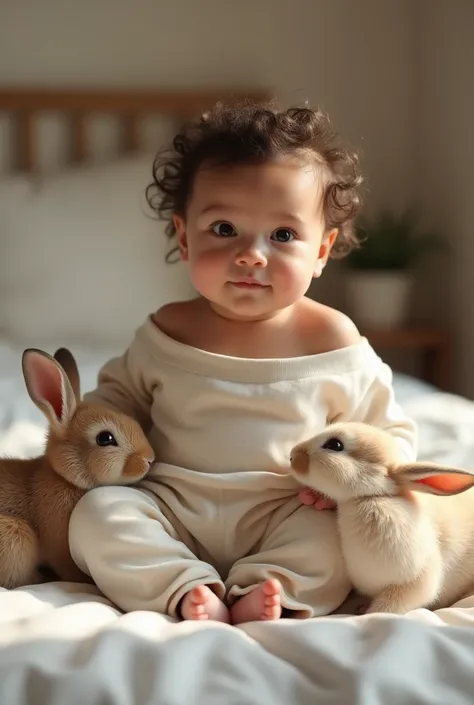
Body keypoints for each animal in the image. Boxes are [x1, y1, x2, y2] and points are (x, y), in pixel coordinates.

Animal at [288, 420, 474, 612]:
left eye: (335, 445)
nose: (292, 455)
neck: (374, 496)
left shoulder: (415, 583)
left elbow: (384, 609)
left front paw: (364, 613)